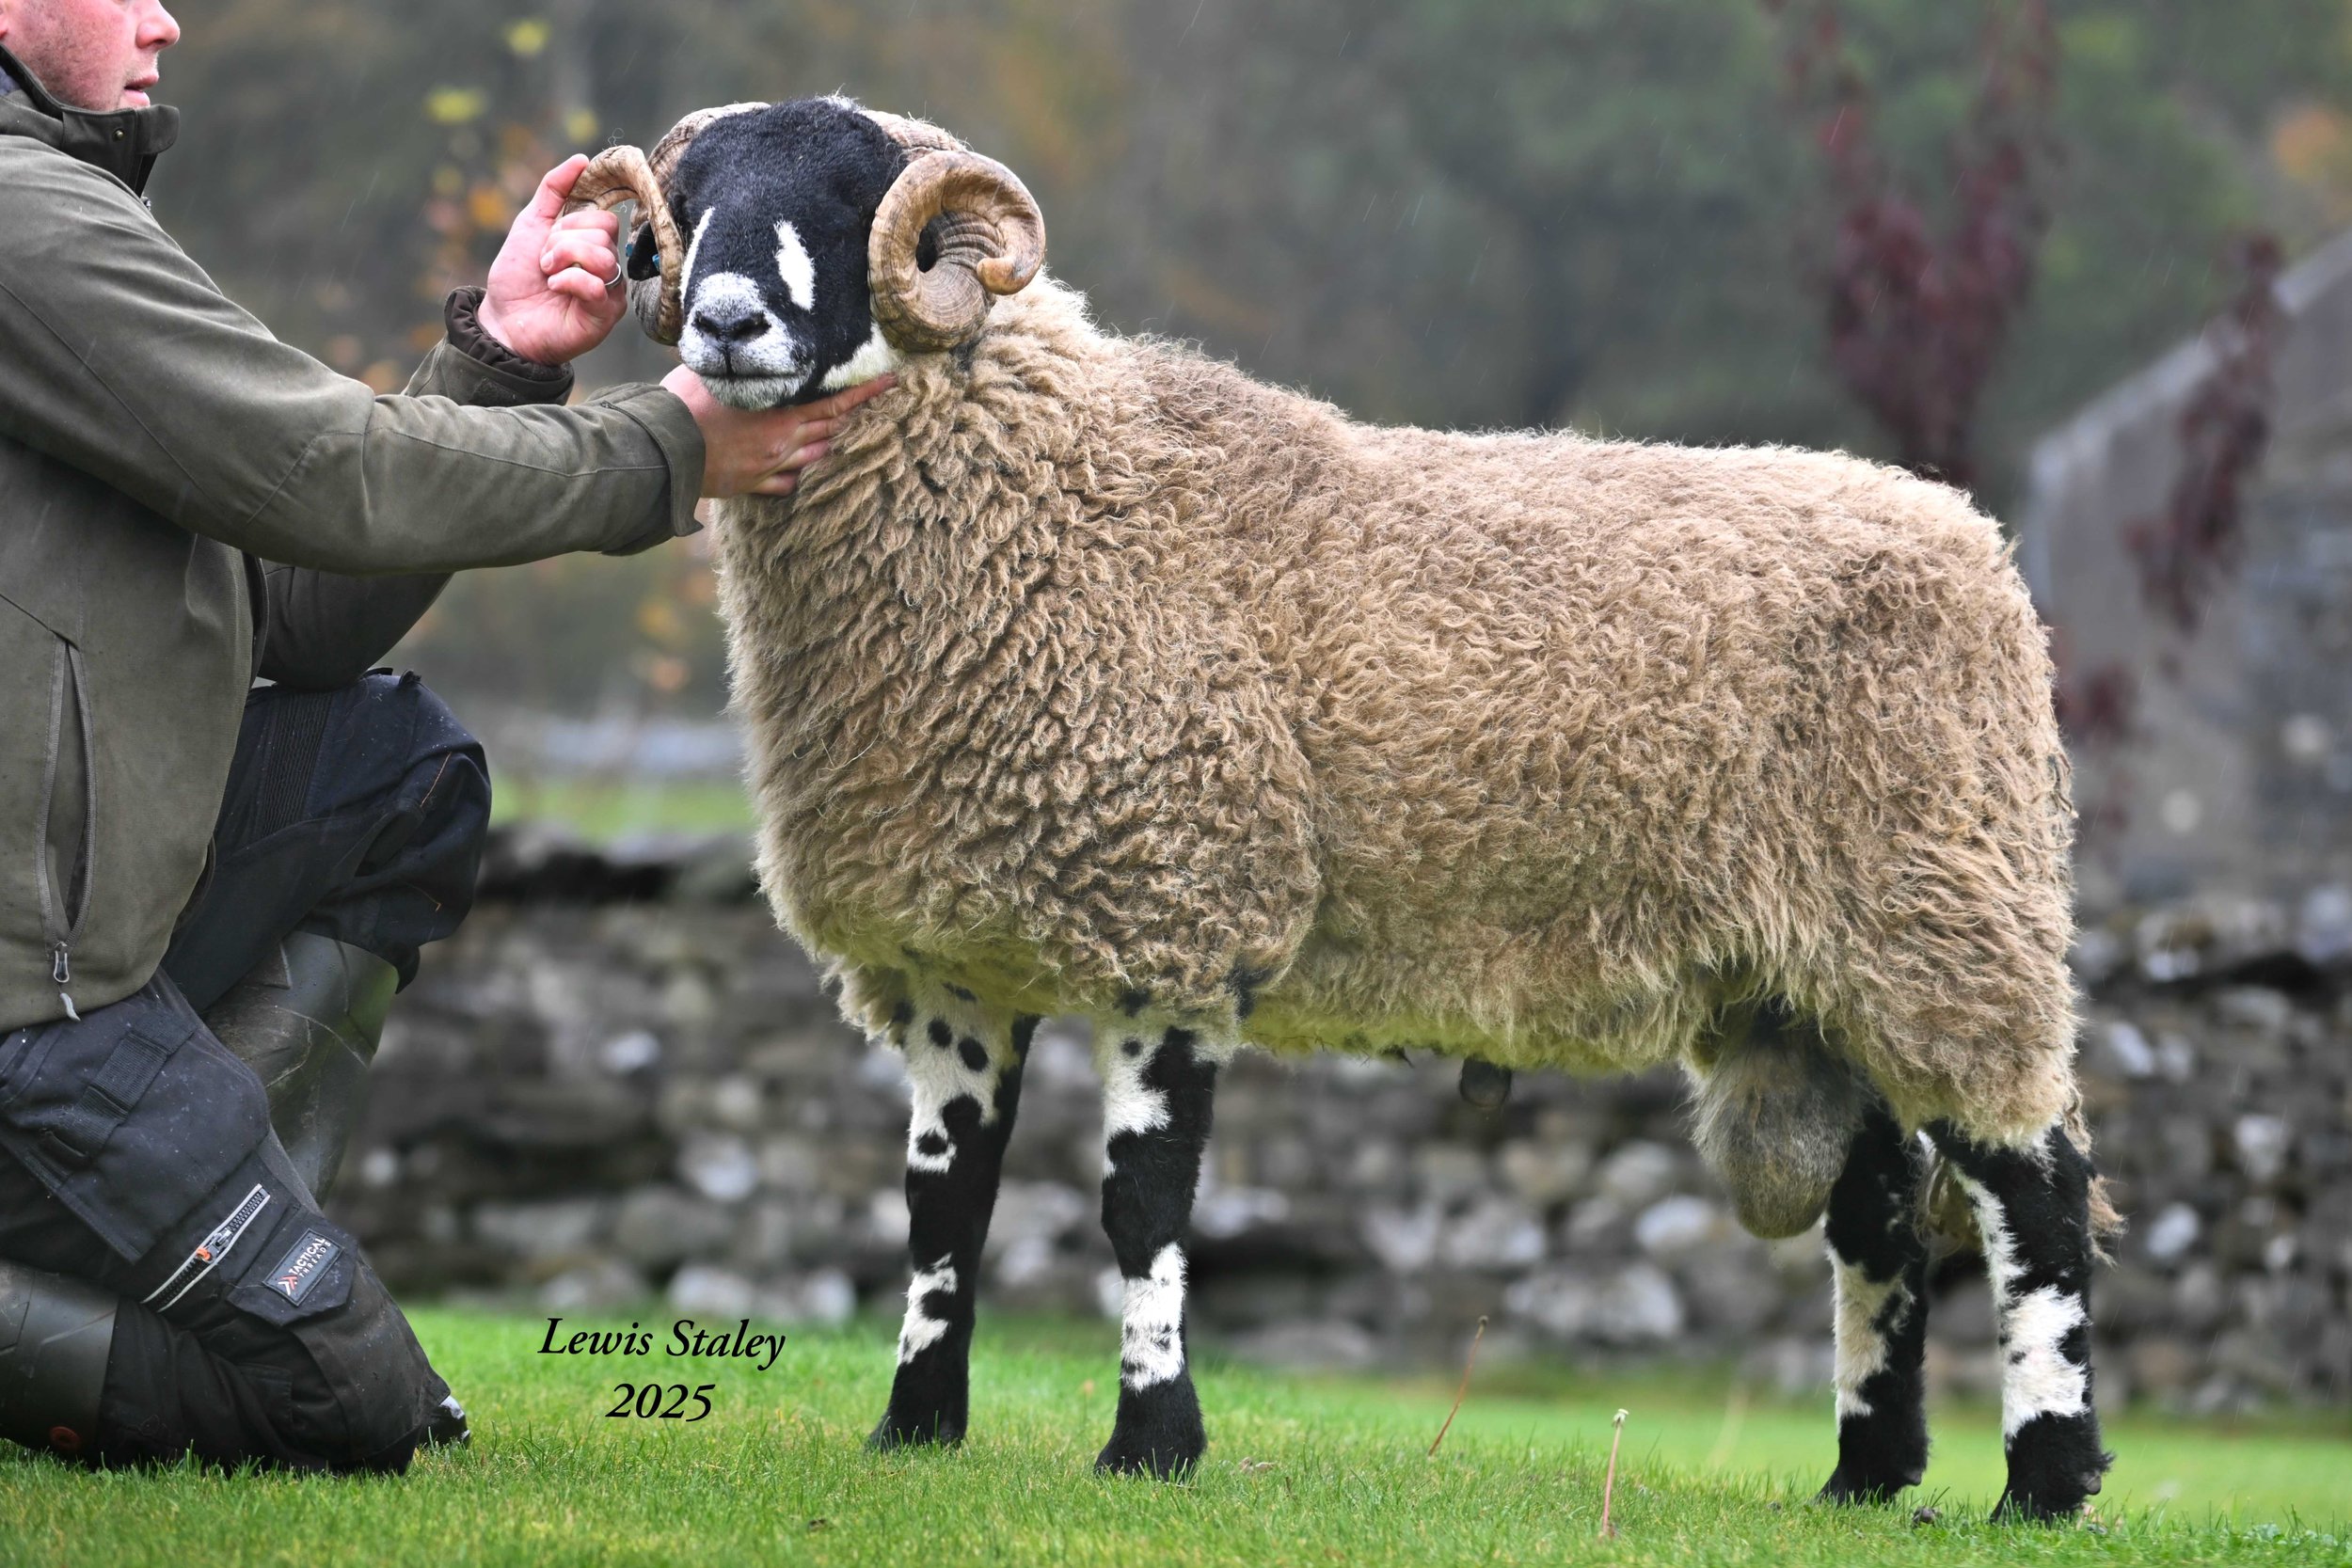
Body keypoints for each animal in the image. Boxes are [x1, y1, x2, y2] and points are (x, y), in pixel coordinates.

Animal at [569, 96, 2112, 1520]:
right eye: (690, 206)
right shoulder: (956, 958)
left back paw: (2043, 1480)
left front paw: (1152, 1444)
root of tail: (1973, 538)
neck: (1050, 502)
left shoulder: (1174, 907)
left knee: (2033, 1195)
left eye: (848, 203)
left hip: (1945, 916)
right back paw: (1866, 1474)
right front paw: (915, 1428)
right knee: (1879, 1213)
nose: (725, 322)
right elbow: (945, 1200)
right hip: (1822, 972)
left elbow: (1143, 1200)